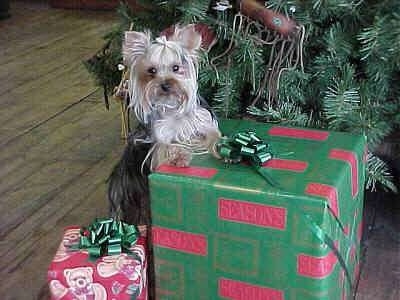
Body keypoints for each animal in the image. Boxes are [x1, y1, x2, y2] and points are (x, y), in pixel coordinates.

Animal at [108, 25, 220, 227]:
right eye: (151, 70)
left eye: (176, 68)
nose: (165, 84)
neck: (172, 105)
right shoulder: (157, 141)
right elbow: (167, 147)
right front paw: (180, 156)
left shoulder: (201, 122)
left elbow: (213, 134)